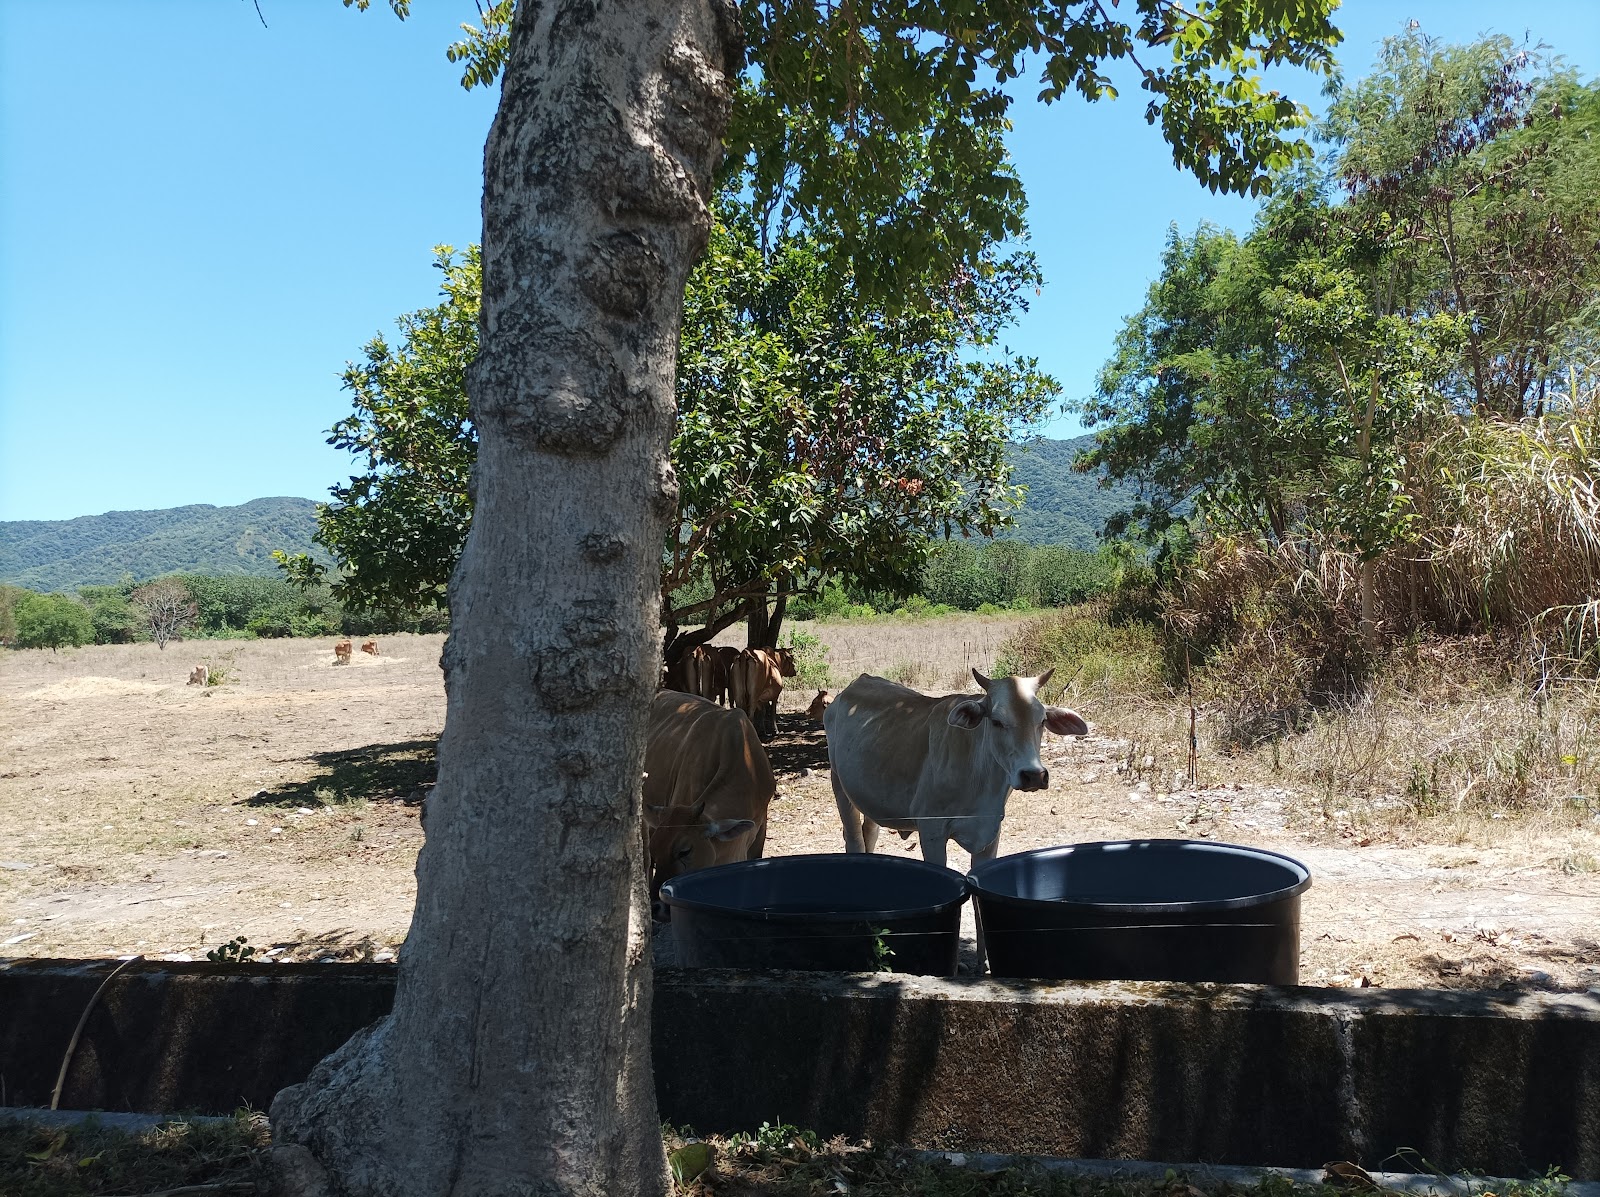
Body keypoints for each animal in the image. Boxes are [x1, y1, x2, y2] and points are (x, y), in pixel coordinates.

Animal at [823, 668, 1089, 871]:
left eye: (1041, 721)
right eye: (996, 721)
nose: (1033, 775)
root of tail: (857, 683)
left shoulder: (989, 834)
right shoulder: (931, 831)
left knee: (869, 834)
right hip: (839, 785)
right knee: (854, 839)